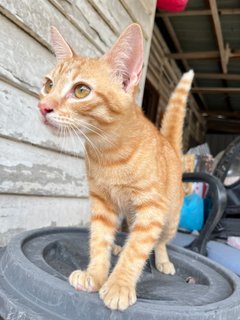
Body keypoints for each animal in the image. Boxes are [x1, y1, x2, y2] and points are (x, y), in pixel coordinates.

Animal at [38, 23, 194, 310]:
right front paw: (95, 275)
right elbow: (99, 240)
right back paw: (119, 247)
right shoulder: (102, 203)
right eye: (48, 85)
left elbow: (138, 249)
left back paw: (163, 260)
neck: (108, 153)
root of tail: (168, 144)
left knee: (160, 241)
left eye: (81, 91)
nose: (43, 106)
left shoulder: (152, 209)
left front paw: (119, 285)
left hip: (170, 218)